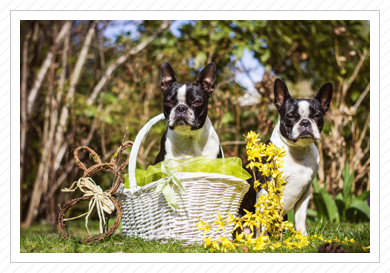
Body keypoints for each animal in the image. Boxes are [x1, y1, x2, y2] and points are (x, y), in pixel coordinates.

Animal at [239, 77, 334, 235]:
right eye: (290, 116)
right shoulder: (266, 188)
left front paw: (303, 236)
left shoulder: (305, 192)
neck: (298, 150)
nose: (305, 122)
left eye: (317, 116)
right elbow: (263, 219)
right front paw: (263, 239)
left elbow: (300, 217)